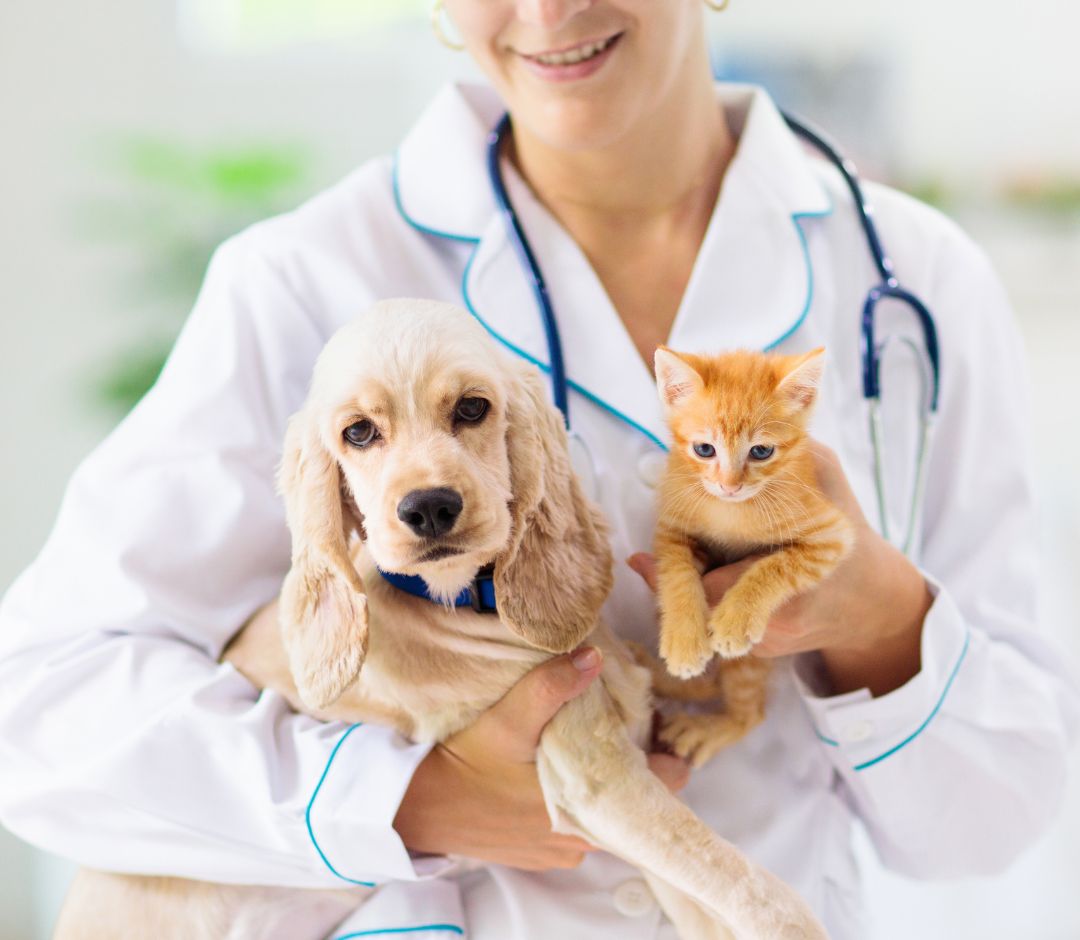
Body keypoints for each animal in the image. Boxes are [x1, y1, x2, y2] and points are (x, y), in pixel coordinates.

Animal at [52, 302, 825, 940]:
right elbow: (757, 891)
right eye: (359, 433)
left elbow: (720, 894)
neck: (469, 604)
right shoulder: (593, 779)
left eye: (473, 408)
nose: (428, 508)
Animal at [643, 350, 855, 769]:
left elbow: (776, 566)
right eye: (704, 449)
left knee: (750, 711)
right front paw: (684, 639)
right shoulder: (672, 528)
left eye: (761, 451)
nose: (730, 486)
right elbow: (675, 575)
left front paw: (736, 618)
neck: (731, 511)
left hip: (751, 663)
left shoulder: (831, 535)